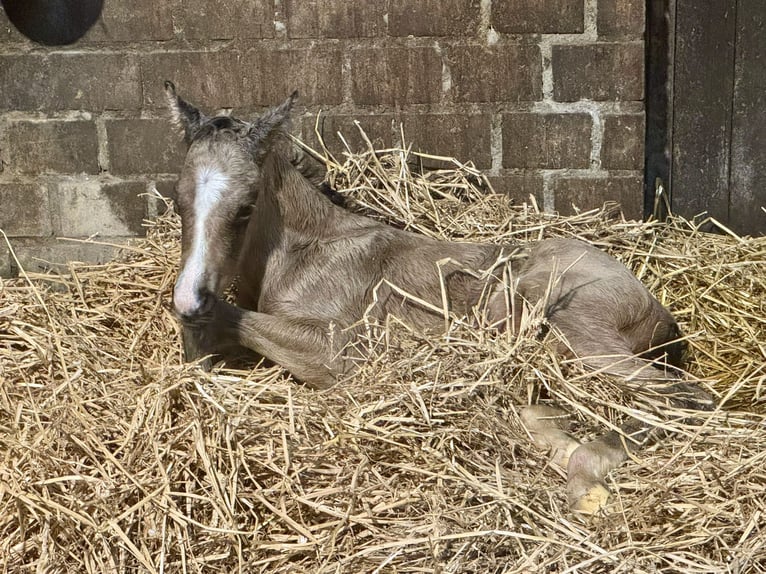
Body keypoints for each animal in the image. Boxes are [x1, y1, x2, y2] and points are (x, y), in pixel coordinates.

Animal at [163, 81, 714, 513]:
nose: (188, 297)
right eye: (178, 199)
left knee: (685, 397)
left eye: (246, 206)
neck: (306, 249)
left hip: (575, 321)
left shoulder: (340, 351)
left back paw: (584, 482)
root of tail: (656, 308)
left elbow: (236, 320)